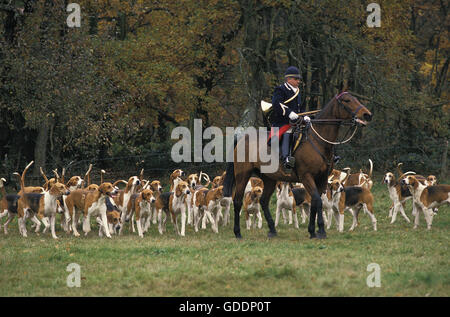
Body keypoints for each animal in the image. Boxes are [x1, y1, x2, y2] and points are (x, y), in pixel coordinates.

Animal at [221, 91, 372, 239]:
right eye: (347, 100)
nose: (367, 115)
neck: (318, 141)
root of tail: (242, 138)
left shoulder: (322, 178)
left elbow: (317, 201)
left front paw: (315, 231)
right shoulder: (306, 176)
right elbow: (317, 200)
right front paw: (319, 230)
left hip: (269, 178)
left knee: (263, 201)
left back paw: (272, 230)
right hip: (242, 175)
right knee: (238, 201)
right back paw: (238, 232)